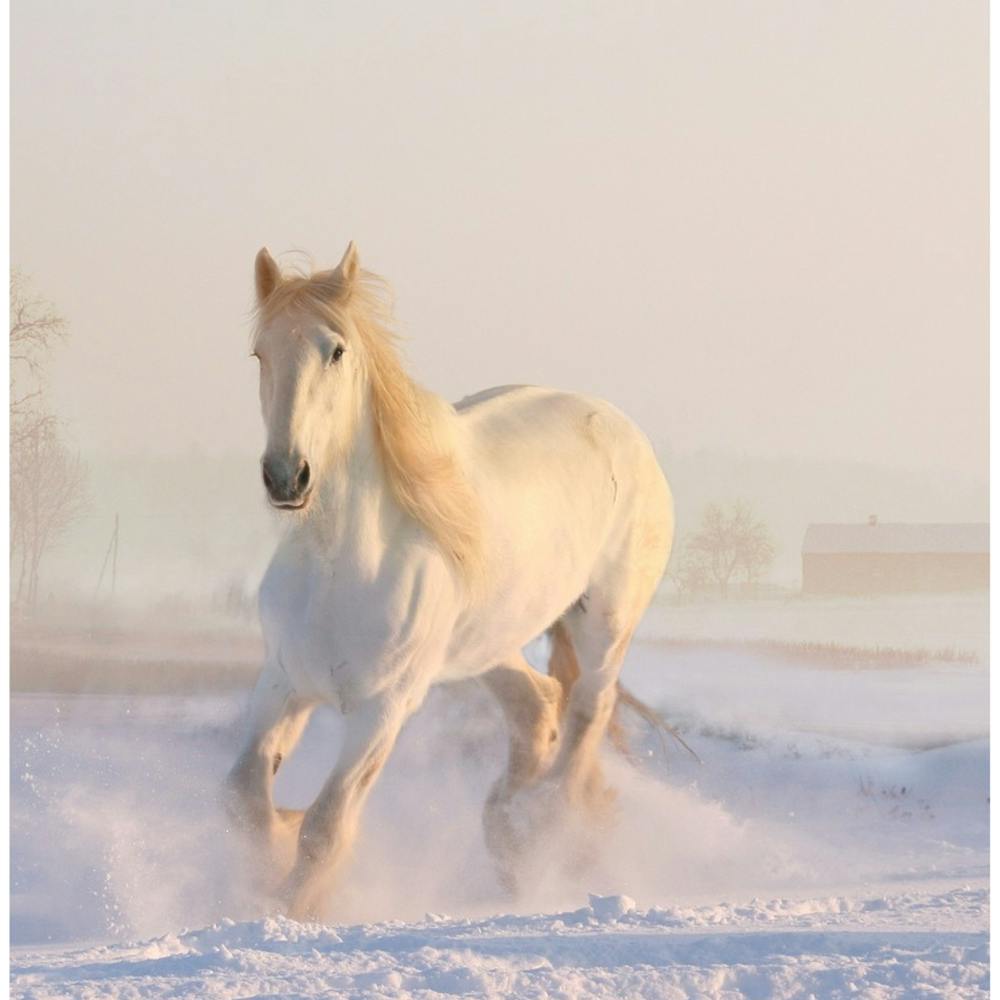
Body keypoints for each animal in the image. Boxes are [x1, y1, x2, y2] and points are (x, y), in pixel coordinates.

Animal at [225, 242, 674, 920]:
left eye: (336, 350)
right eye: (260, 353)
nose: (286, 476)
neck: (339, 567)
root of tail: (623, 429)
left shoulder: (383, 708)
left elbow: (326, 827)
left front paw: (295, 906)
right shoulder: (282, 682)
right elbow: (246, 800)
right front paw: (271, 858)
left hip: (605, 622)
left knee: (586, 713)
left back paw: (547, 832)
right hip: (485, 646)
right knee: (538, 706)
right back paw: (509, 834)